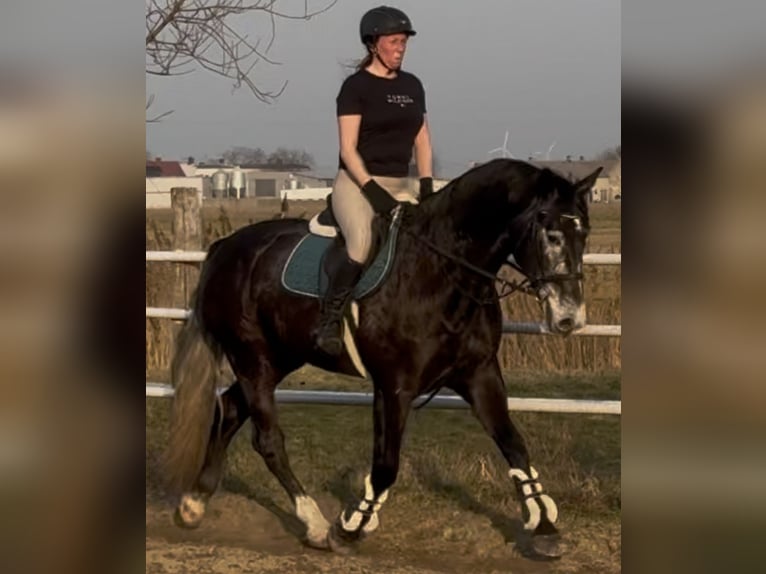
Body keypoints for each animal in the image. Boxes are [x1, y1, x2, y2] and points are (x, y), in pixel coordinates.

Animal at [165, 158, 604, 560]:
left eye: (583, 232)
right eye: (551, 234)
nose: (570, 318)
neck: (441, 272)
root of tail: (224, 248)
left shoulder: (479, 374)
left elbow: (513, 444)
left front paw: (545, 528)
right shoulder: (395, 385)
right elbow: (387, 462)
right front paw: (351, 526)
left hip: (277, 359)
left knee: (229, 410)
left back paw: (193, 504)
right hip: (252, 357)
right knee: (267, 439)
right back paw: (315, 524)